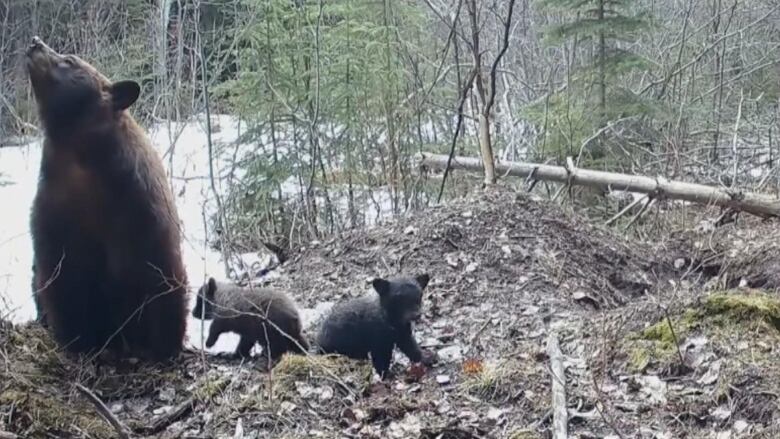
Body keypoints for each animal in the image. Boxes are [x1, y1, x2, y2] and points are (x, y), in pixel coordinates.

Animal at [26, 37, 188, 360]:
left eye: (70, 59)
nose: (36, 43)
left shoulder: (141, 209)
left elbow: (162, 278)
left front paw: (164, 346)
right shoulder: (55, 208)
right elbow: (60, 277)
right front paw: (77, 341)